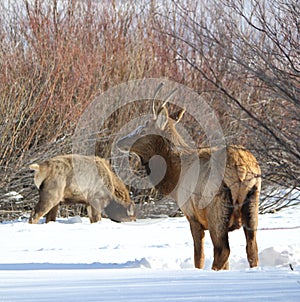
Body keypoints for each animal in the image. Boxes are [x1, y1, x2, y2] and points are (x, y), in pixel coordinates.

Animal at [117, 100, 260, 270]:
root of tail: (242, 169)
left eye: (143, 129)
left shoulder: (192, 216)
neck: (175, 179)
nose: (119, 141)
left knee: (223, 250)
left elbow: (198, 257)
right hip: (252, 202)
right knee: (252, 249)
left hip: (216, 208)